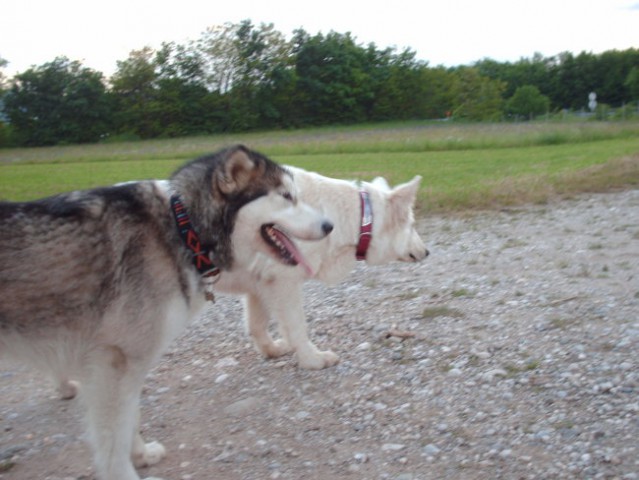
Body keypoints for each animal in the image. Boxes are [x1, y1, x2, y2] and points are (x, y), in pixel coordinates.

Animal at [0, 146, 332, 480]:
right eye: (287, 196)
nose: (329, 225)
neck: (182, 227)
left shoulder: (124, 364)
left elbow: (129, 420)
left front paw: (141, 454)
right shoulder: (115, 361)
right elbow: (114, 437)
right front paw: (124, 472)